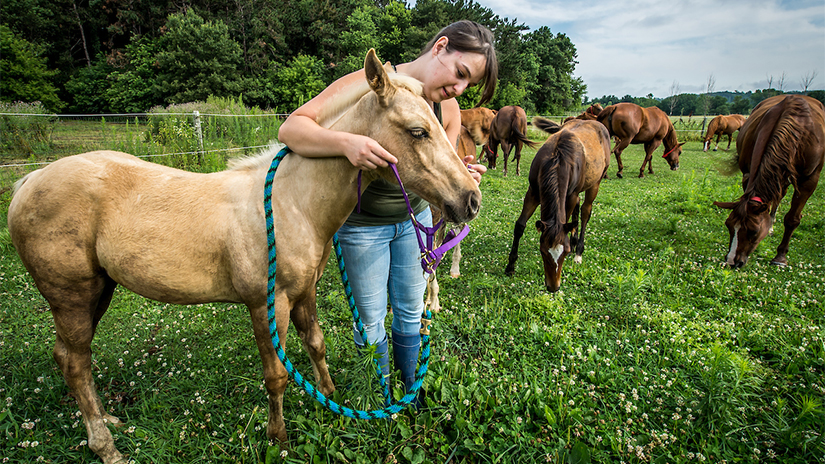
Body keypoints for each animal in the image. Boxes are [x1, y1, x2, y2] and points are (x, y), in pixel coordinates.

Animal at [6, 50, 480, 464]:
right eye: (417, 131)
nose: (470, 199)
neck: (294, 203)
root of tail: (29, 182)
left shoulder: (304, 292)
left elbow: (316, 345)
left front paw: (331, 400)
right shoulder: (266, 304)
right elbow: (277, 375)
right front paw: (279, 439)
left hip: (98, 291)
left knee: (71, 358)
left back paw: (108, 420)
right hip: (72, 297)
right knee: (76, 363)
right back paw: (106, 447)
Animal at [502, 117, 612, 290]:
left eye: (565, 253)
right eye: (543, 251)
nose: (553, 288)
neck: (558, 159)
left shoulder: (570, 195)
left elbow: (566, 220)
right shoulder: (533, 192)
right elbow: (520, 226)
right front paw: (510, 266)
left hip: (595, 183)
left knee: (585, 211)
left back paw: (578, 251)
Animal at [712, 94, 820, 268]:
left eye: (754, 231)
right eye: (728, 225)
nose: (731, 261)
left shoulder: (809, 179)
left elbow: (792, 218)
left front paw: (780, 257)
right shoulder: (749, 173)